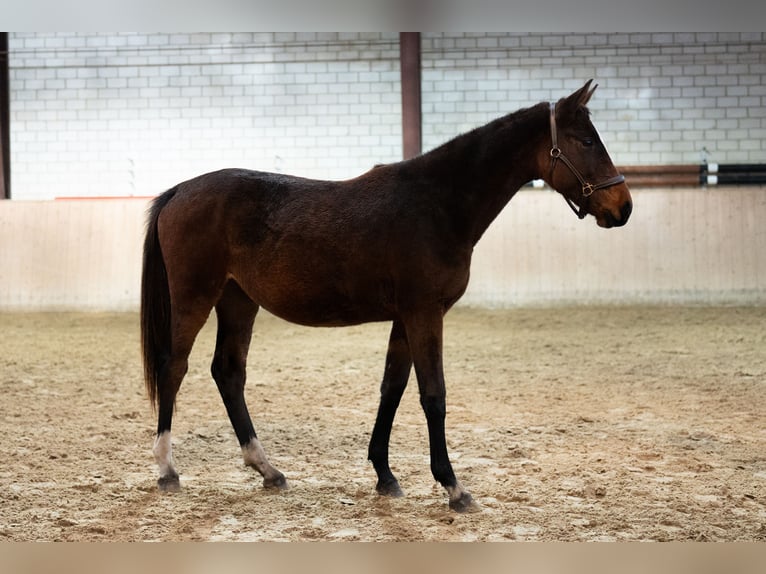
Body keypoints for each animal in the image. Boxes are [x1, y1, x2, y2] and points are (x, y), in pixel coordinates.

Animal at [140, 80, 632, 512]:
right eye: (586, 140)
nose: (623, 206)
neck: (438, 203)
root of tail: (180, 190)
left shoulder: (406, 317)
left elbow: (391, 388)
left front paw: (385, 475)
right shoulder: (425, 313)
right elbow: (433, 395)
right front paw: (453, 487)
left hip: (238, 300)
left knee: (228, 372)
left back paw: (268, 469)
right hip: (195, 298)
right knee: (173, 367)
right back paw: (166, 469)